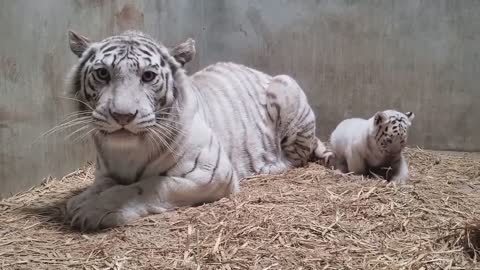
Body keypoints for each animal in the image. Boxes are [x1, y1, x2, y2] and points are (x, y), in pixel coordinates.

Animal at [62, 30, 330, 231]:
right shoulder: (105, 172)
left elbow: (148, 186)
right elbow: (102, 185)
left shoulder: (212, 172)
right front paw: (80, 200)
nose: (122, 115)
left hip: (285, 85)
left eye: (148, 76)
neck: (126, 152)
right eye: (102, 73)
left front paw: (94, 209)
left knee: (295, 158)